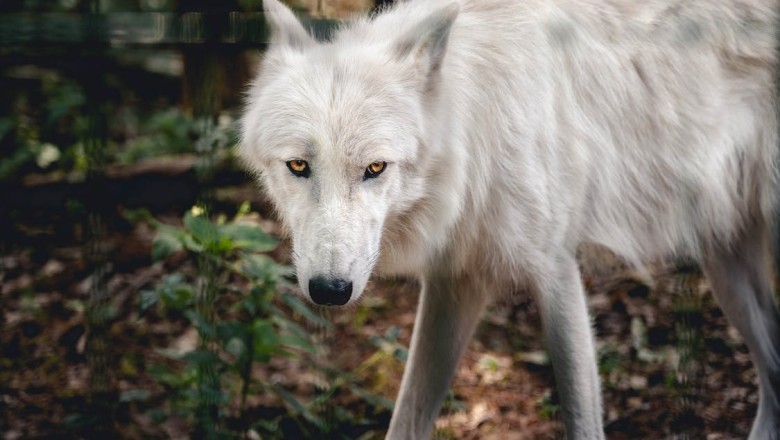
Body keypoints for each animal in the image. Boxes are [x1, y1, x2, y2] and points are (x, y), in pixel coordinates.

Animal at [239, 0, 780, 438]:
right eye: (298, 166)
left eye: (375, 168)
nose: (330, 291)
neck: (477, 125)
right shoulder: (454, 282)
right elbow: (407, 419)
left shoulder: (556, 273)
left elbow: (582, 418)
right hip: (726, 264)